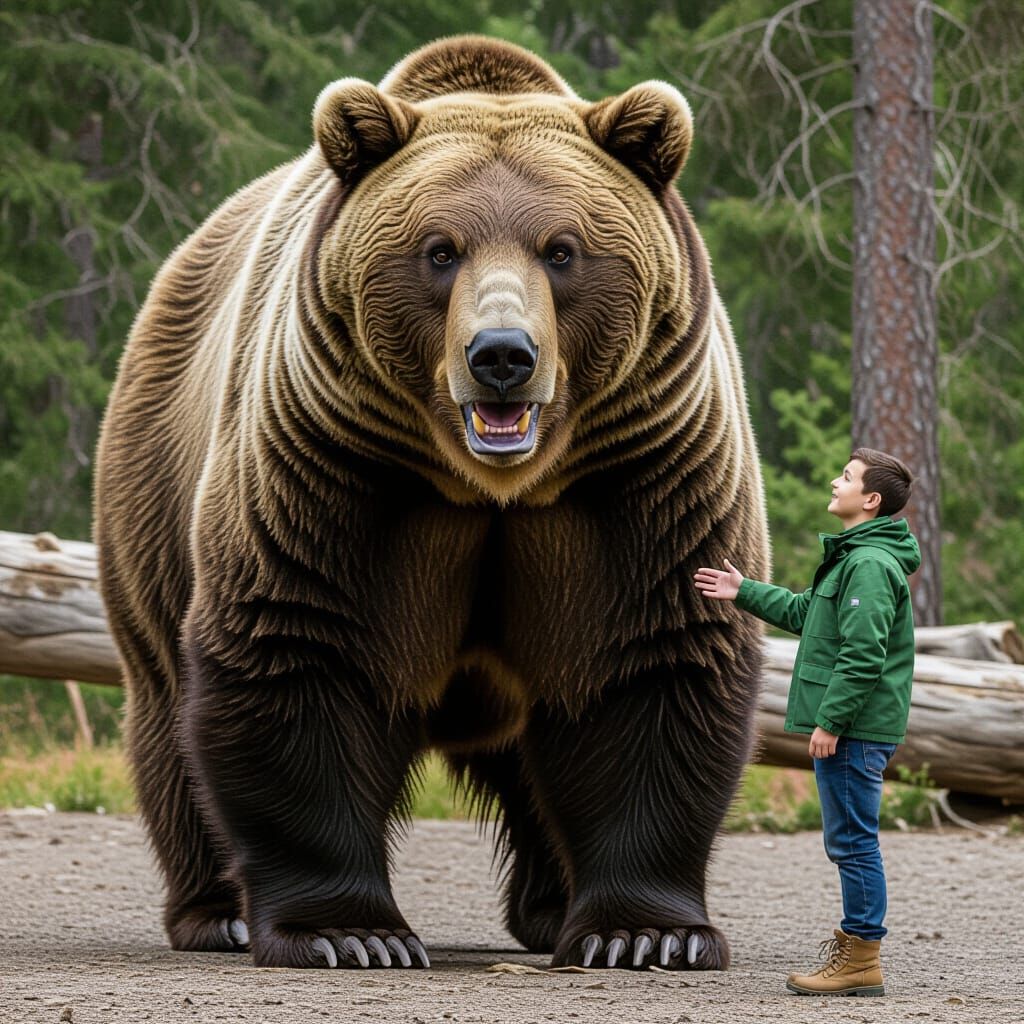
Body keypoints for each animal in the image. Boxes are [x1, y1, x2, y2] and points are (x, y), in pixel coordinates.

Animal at [95, 35, 769, 971]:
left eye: (562, 250)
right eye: (440, 250)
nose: (502, 355)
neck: (493, 486)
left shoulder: (641, 480)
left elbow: (648, 665)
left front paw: (645, 934)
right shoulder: (337, 475)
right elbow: (299, 649)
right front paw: (349, 932)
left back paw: (550, 910)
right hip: (154, 483)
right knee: (167, 709)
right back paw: (216, 913)